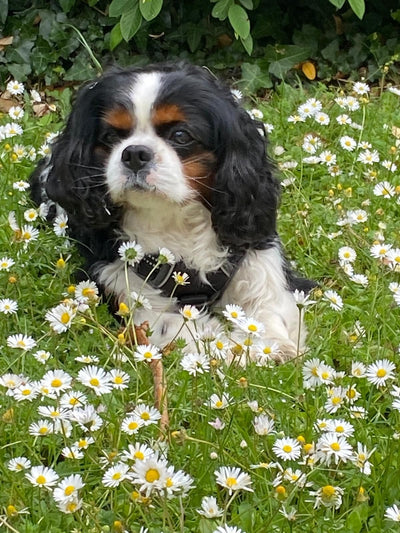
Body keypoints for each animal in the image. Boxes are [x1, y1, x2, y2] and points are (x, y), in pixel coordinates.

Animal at [29, 63, 314, 362]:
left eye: (181, 135)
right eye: (110, 136)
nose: (134, 153)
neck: (174, 217)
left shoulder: (257, 257)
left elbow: (268, 306)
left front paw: (271, 345)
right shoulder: (120, 282)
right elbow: (178, 326)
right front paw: (227, 350)